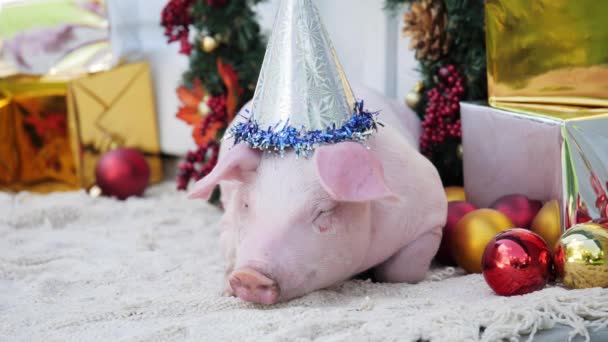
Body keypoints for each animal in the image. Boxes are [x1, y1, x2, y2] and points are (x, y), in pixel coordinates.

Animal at [190, 85, 446, 304]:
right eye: (245, 204)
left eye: (323, 211)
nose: (250, 275)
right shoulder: (227, 222)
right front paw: (225, 290)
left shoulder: (431, 215)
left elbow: (400, 271)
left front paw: (437, 275)